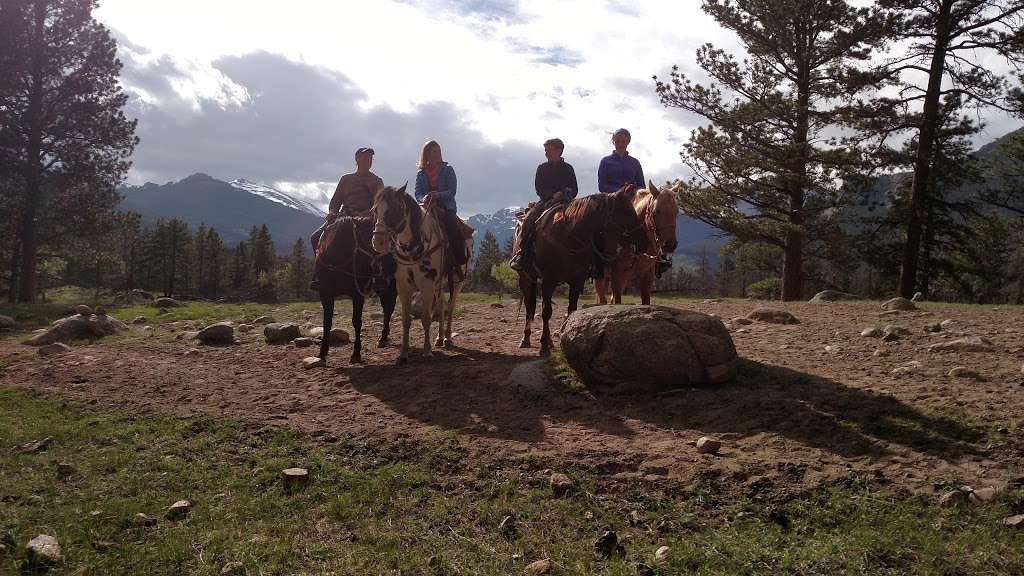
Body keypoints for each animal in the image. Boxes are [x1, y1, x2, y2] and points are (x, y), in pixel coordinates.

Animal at [311, 215, 395, 362]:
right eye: (372, 241)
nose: (393, 265)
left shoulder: (357, 295)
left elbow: (356, 322)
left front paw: (356, 353)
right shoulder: (325, 294)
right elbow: (327, 322)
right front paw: (322, 353)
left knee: (388, 309)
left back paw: (383, 337)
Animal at [372, 183, 471, 360]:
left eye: (394, 209)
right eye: (375, 210)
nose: (378, 241)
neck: (414, 248)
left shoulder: (427, 286)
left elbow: (426, 318)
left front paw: (427, 351)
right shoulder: (403, 287)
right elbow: (406, 320)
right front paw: (404, 353)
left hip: (458, 283)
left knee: (450, 307)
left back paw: (447, 338)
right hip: (440, 284)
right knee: (441, 305)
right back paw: (439, 338)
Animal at [516, 183, 643, 354]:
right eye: (626, 212)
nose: (644, 239)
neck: (568, 236)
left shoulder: (577, 280)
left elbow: (571, 310)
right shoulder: (549, 280)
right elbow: (546, 312)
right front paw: (543, 347)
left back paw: (549, 341)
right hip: (526, 277)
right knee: (530, 306)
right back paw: (526, 339)